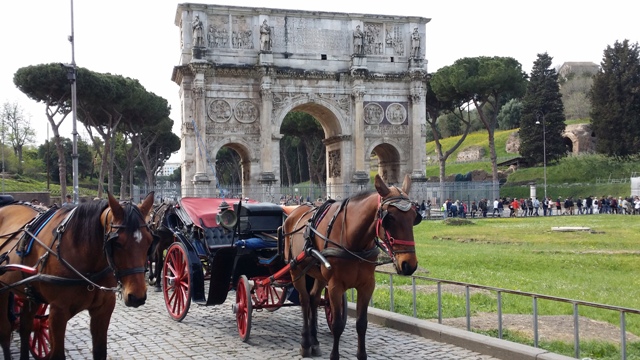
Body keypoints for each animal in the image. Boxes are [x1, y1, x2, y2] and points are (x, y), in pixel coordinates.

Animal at [0, 193, 154, 358]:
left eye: (149, 241)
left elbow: (100, 352)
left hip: (31, 293)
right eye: (117, 242)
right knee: (5, 332)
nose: (137, 296)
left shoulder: (103, 309)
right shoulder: (58, 312)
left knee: (25, 327)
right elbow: (57, 354)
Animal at [284, 174, 420, 360]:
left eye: (415, 217)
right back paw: (305, 343)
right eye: (390, 218)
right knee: (304, 300)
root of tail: (294, 212)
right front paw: (334, 355)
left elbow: (361, 323)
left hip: (318, 274)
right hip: (295, 269)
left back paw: (314, 341)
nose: (409, 264)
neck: (354, 241)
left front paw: (361, 355)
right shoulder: (335, 286)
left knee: (313, 299)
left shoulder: (367, 285)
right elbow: (337, 324)